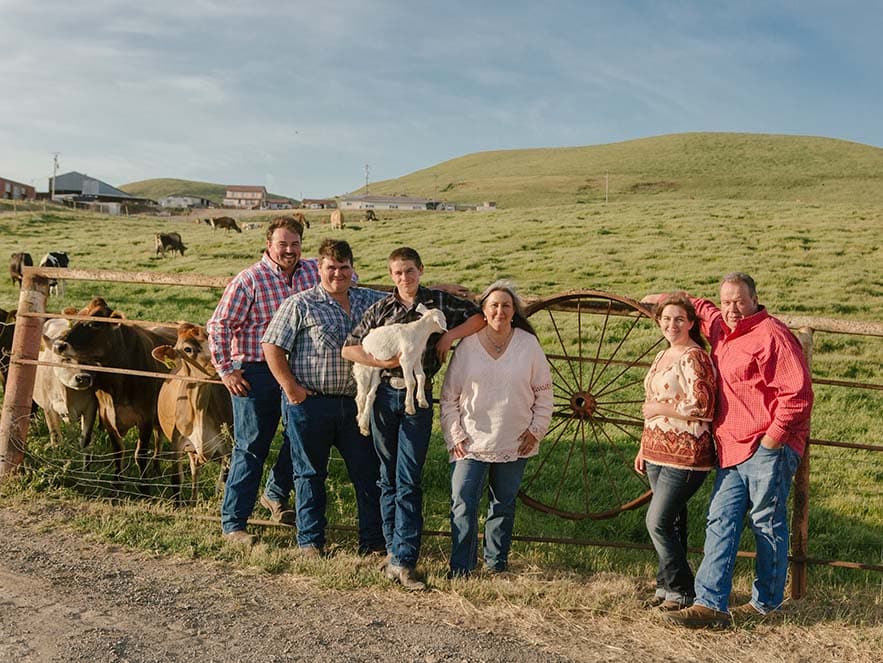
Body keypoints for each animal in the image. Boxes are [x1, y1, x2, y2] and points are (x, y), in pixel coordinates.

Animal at [33, 318, 98, 452]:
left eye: (88, 359)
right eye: (66, 359)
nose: (83, 378)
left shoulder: (92, 405)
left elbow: (86, 432)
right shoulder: (48, 406)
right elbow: (54, 432)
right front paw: (57, 450)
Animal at [52, 296, 178, 488]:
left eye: (95, 323)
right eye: (74, 319)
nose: (59, 345)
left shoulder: (146, 417)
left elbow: (140, 455)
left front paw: (144, 487)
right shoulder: (107, 416)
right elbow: (118, 453)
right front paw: (117, 485)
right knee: (159, 436)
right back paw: (156, 468)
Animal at [153, 322, 233, 504]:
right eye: (188, 349)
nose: (220, 364)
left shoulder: (227, 447)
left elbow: (223, 482)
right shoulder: (177, 445)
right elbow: (177, 480)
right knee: (194, 469)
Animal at [352, 304, 448, 436]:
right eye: (443, 318)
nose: (444, 331)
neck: (419, 333)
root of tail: (365, 341)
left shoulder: (416, 357)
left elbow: (421, 377)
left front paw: (422, 401)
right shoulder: (405, 359)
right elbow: (411, 382)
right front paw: (410, 407)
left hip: (376, 371)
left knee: (370, 395)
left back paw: (365, 426)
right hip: (363, 369)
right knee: (360, 397)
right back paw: (361, 422)